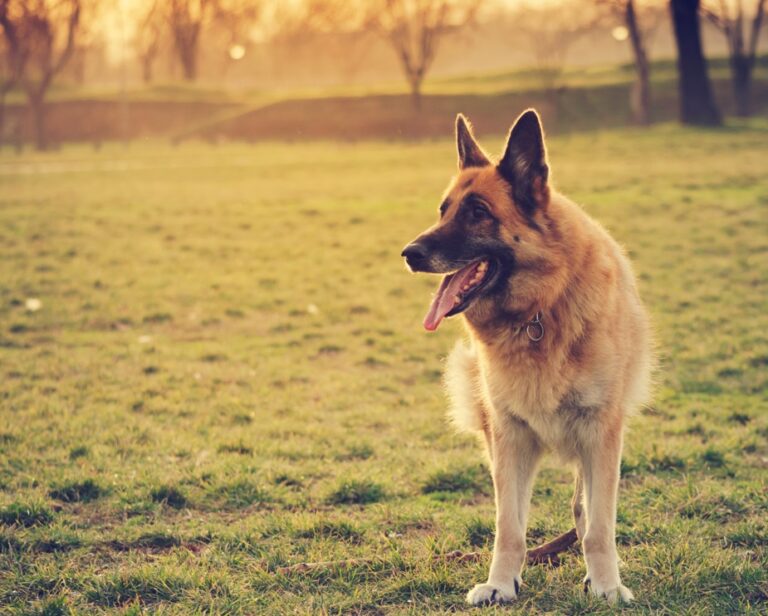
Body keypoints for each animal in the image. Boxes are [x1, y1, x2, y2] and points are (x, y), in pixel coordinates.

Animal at [402, 110, 656, 608]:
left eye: (478, 212)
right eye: (444, 210)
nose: (409, 254)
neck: (540, 309)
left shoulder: (601, 433)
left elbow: (600, 526)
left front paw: (606, 584)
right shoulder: (510, 438)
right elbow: (509, 528)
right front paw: (501, 583)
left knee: (584, 508)